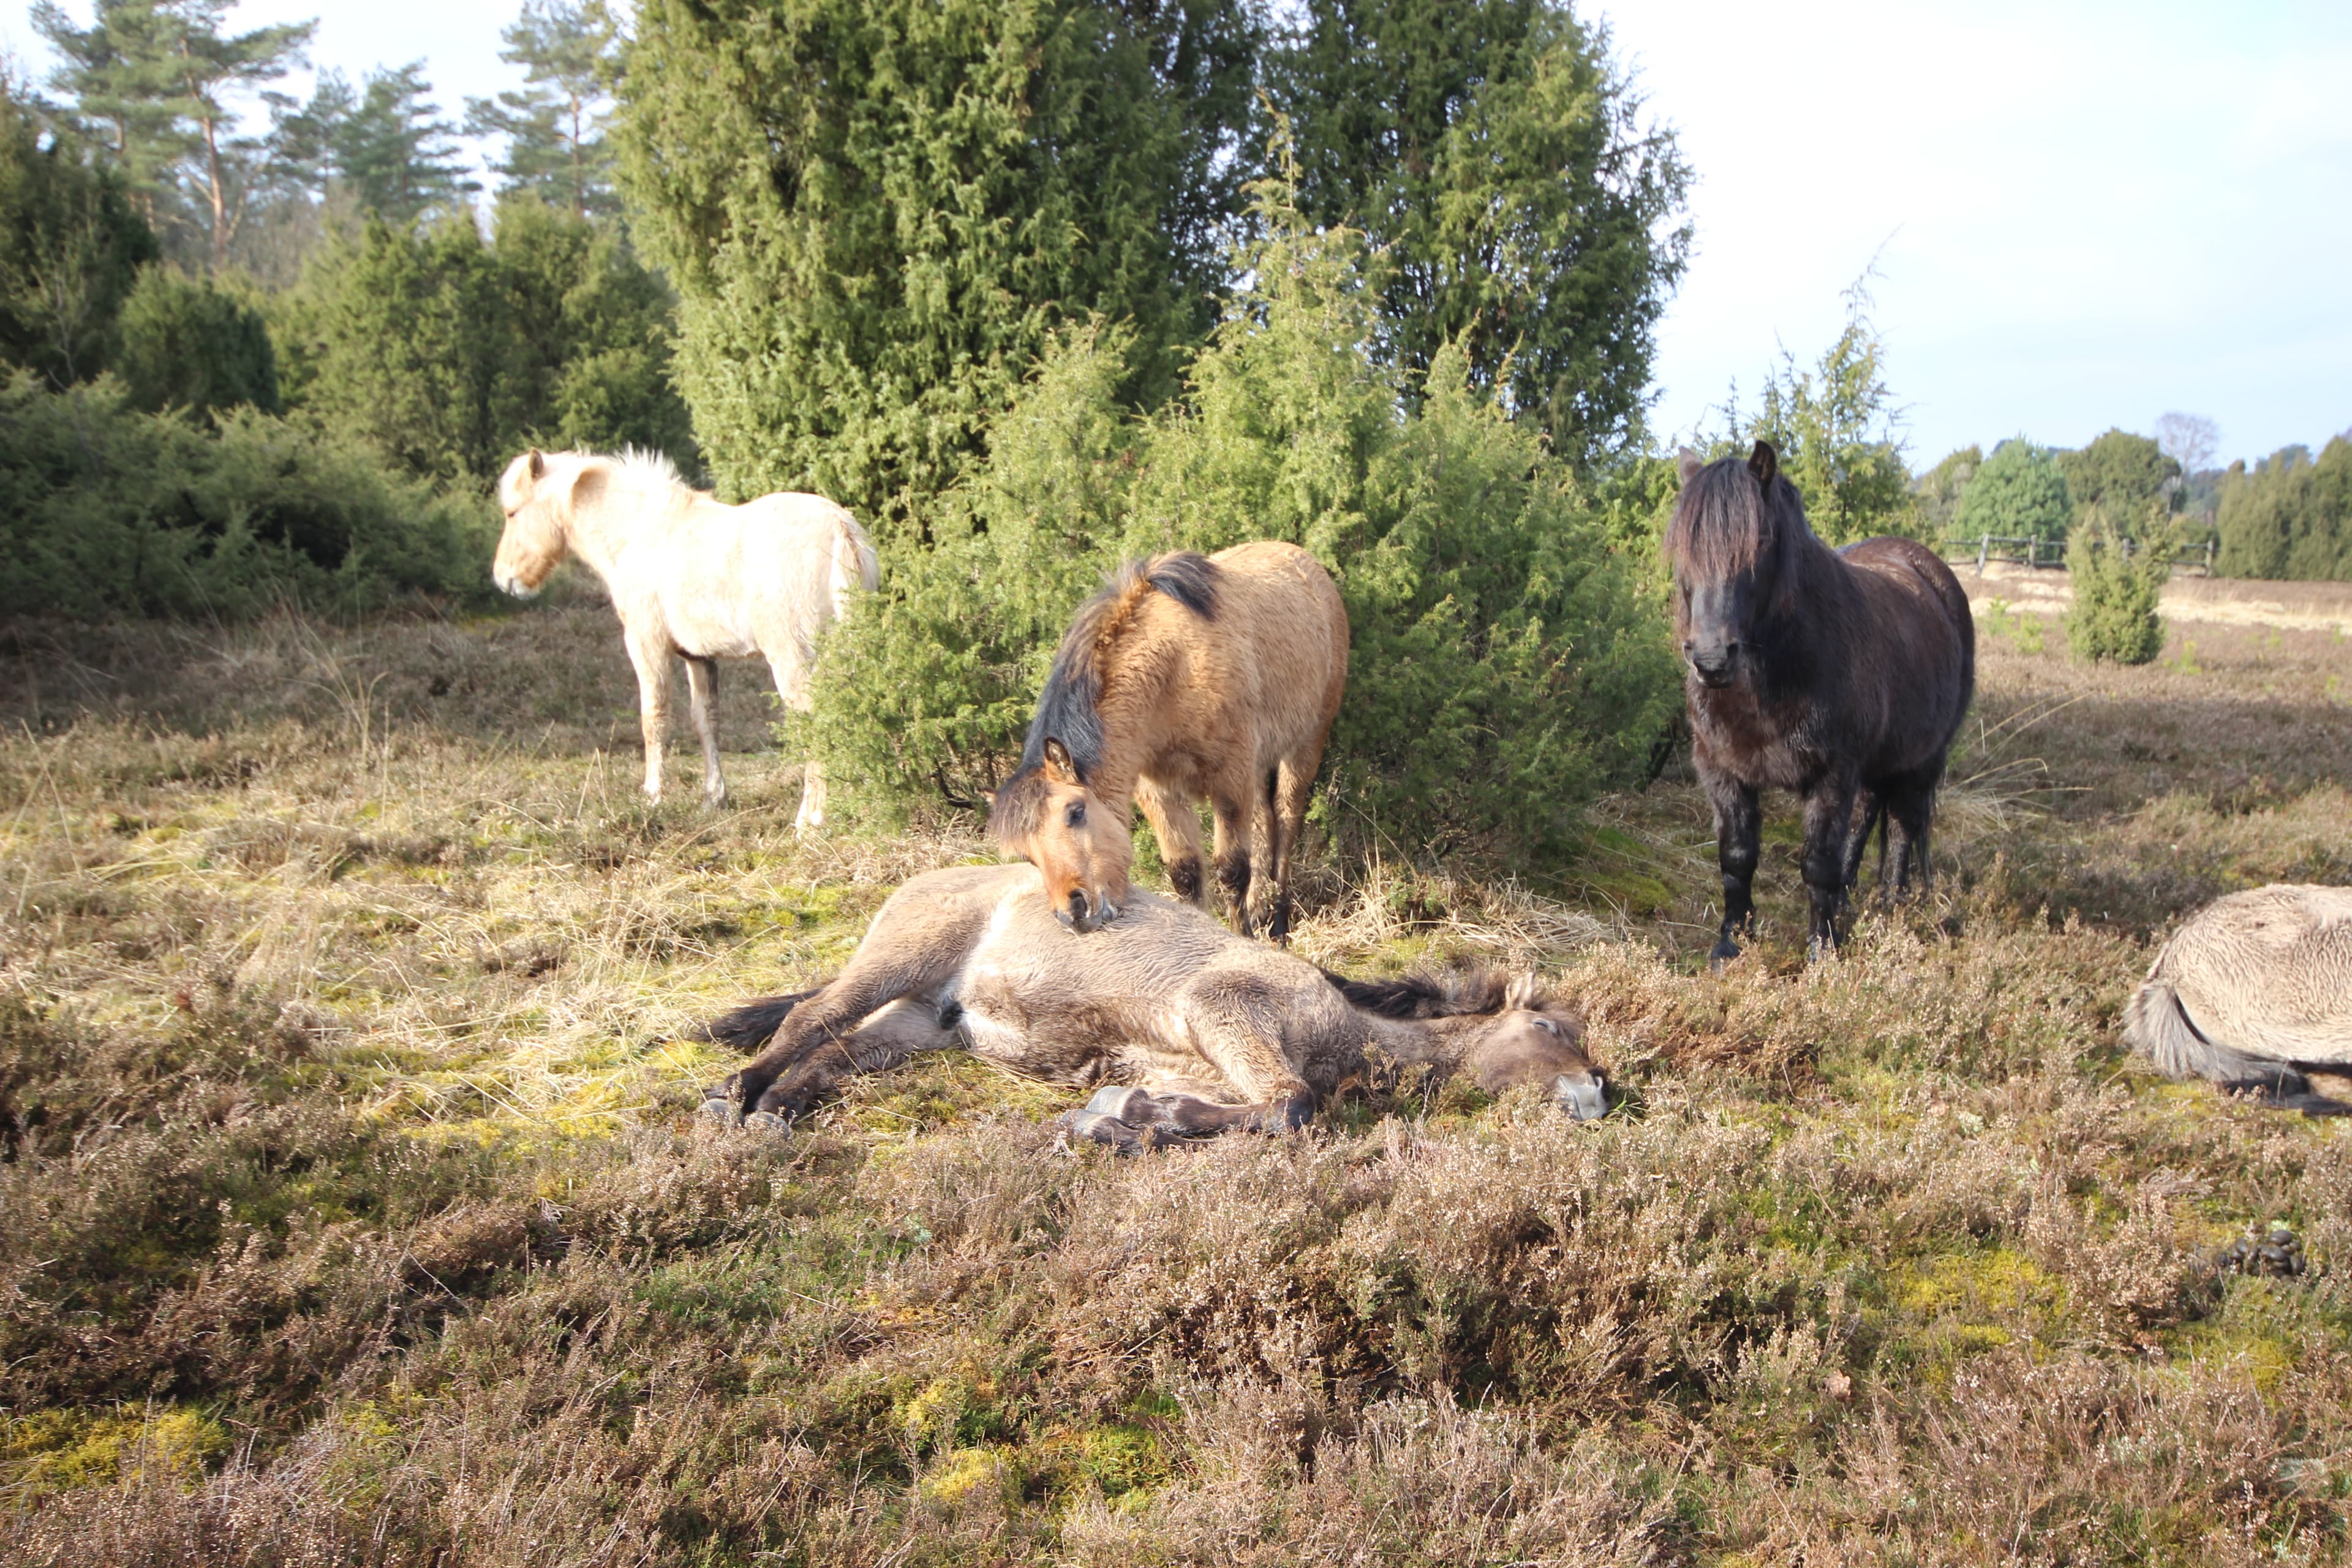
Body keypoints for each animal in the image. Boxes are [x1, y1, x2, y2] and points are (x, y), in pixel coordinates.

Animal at [491, 447, 880, 827]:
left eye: (512, 513)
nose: (504, 578)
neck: (637, 533)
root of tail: (840, 529)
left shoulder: (646, 644)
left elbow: (654, 716)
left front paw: (652, 796)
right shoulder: (699, 656)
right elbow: (705, 720)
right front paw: (714, 799)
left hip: (793, 658)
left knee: (814, 719)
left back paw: (810, 819)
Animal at [706, 860, 1608, 1152]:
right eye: (1550, 1026)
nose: (1602, 1093)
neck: (1346, 1027)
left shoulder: (1202, 1062)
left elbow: (1251, 1108)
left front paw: (1118, 1119)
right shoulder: (1224, 1010)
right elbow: (1293, 1105)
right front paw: (1138, 1120)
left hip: (923, 1024)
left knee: (836, 1051)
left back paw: (777, 1111)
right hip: (904, 956)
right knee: (811, 1017)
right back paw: (732, 1097)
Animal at [987, 545, 1354, 944]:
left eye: (1076, 812)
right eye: (1027, 854)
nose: (1074, 913)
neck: (1173, 669)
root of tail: (1307, 563)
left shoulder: (1229, 781)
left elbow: (1231, 870)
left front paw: (1243, 939)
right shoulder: (1161, 793)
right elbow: (1186, 874)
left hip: (1303, 748)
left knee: (1287, 823)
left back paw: (1281, 921)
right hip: (1258, 769)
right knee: (1263, 823)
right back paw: (1260, 908)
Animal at [1665, 435, 1975, 963]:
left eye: (1760, 545)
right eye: (1685, 549)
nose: (1711, 659)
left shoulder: (1831, 774)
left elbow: (1817, 863)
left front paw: (1821, 952)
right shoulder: (1720, 769)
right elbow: (1737, 856)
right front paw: (1731, 943)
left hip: (1922, 757)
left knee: (1902, 823)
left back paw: (1891, 905)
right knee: (1869, 816)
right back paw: (1850, 904)